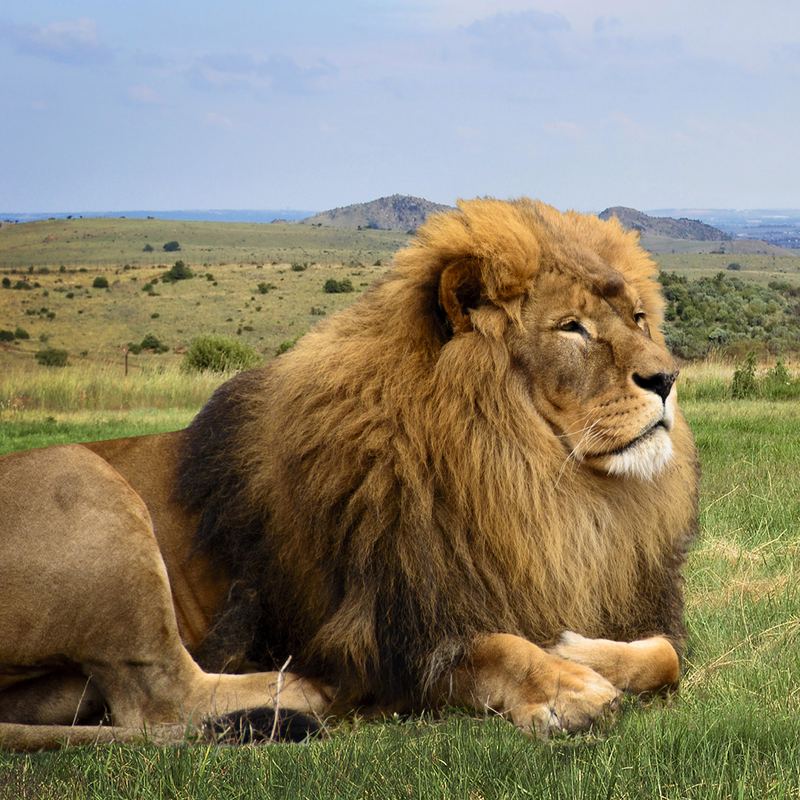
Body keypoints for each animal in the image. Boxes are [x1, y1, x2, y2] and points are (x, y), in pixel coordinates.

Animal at [0, 199, 698, 751]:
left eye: (638, 318)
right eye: (571, 327)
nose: (667, 377)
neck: (538, 477)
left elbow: (666, 656)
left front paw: (577, 649)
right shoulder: (397, 633)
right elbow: (499, 648)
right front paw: (566, 681)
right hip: (85, 477)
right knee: (159, 699)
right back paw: (307, 690)